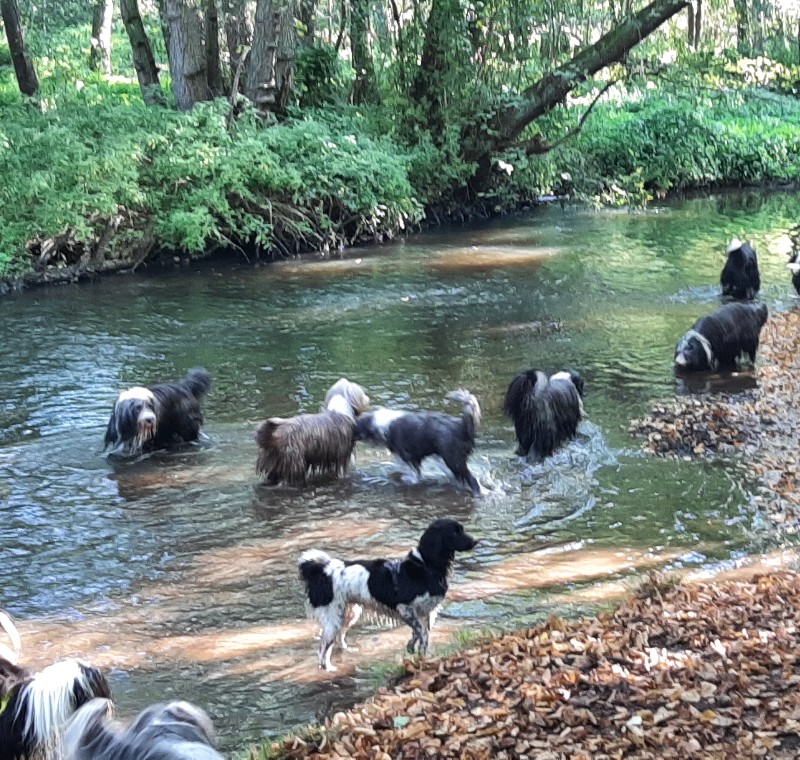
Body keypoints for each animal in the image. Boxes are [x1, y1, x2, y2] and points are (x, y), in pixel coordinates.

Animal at [298, 516, 476, 672]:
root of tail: (321, 571)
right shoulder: (405, 608)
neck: (426, 565)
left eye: (461, 530)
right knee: (323, 649)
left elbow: (421, 636)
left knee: (339, 638)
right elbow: (420, 633)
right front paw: (416, 652)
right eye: (455, 532)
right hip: (333, 617)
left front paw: (419, 655)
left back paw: (347, 651)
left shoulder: (425, 613)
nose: (476, 541)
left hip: (349, 613)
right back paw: (328, 669)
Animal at [354, 388, 482, 496]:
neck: (378, 424)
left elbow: (415, 474)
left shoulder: (410, 457)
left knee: (472, 479)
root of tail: (462, 425)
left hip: (453, 460)